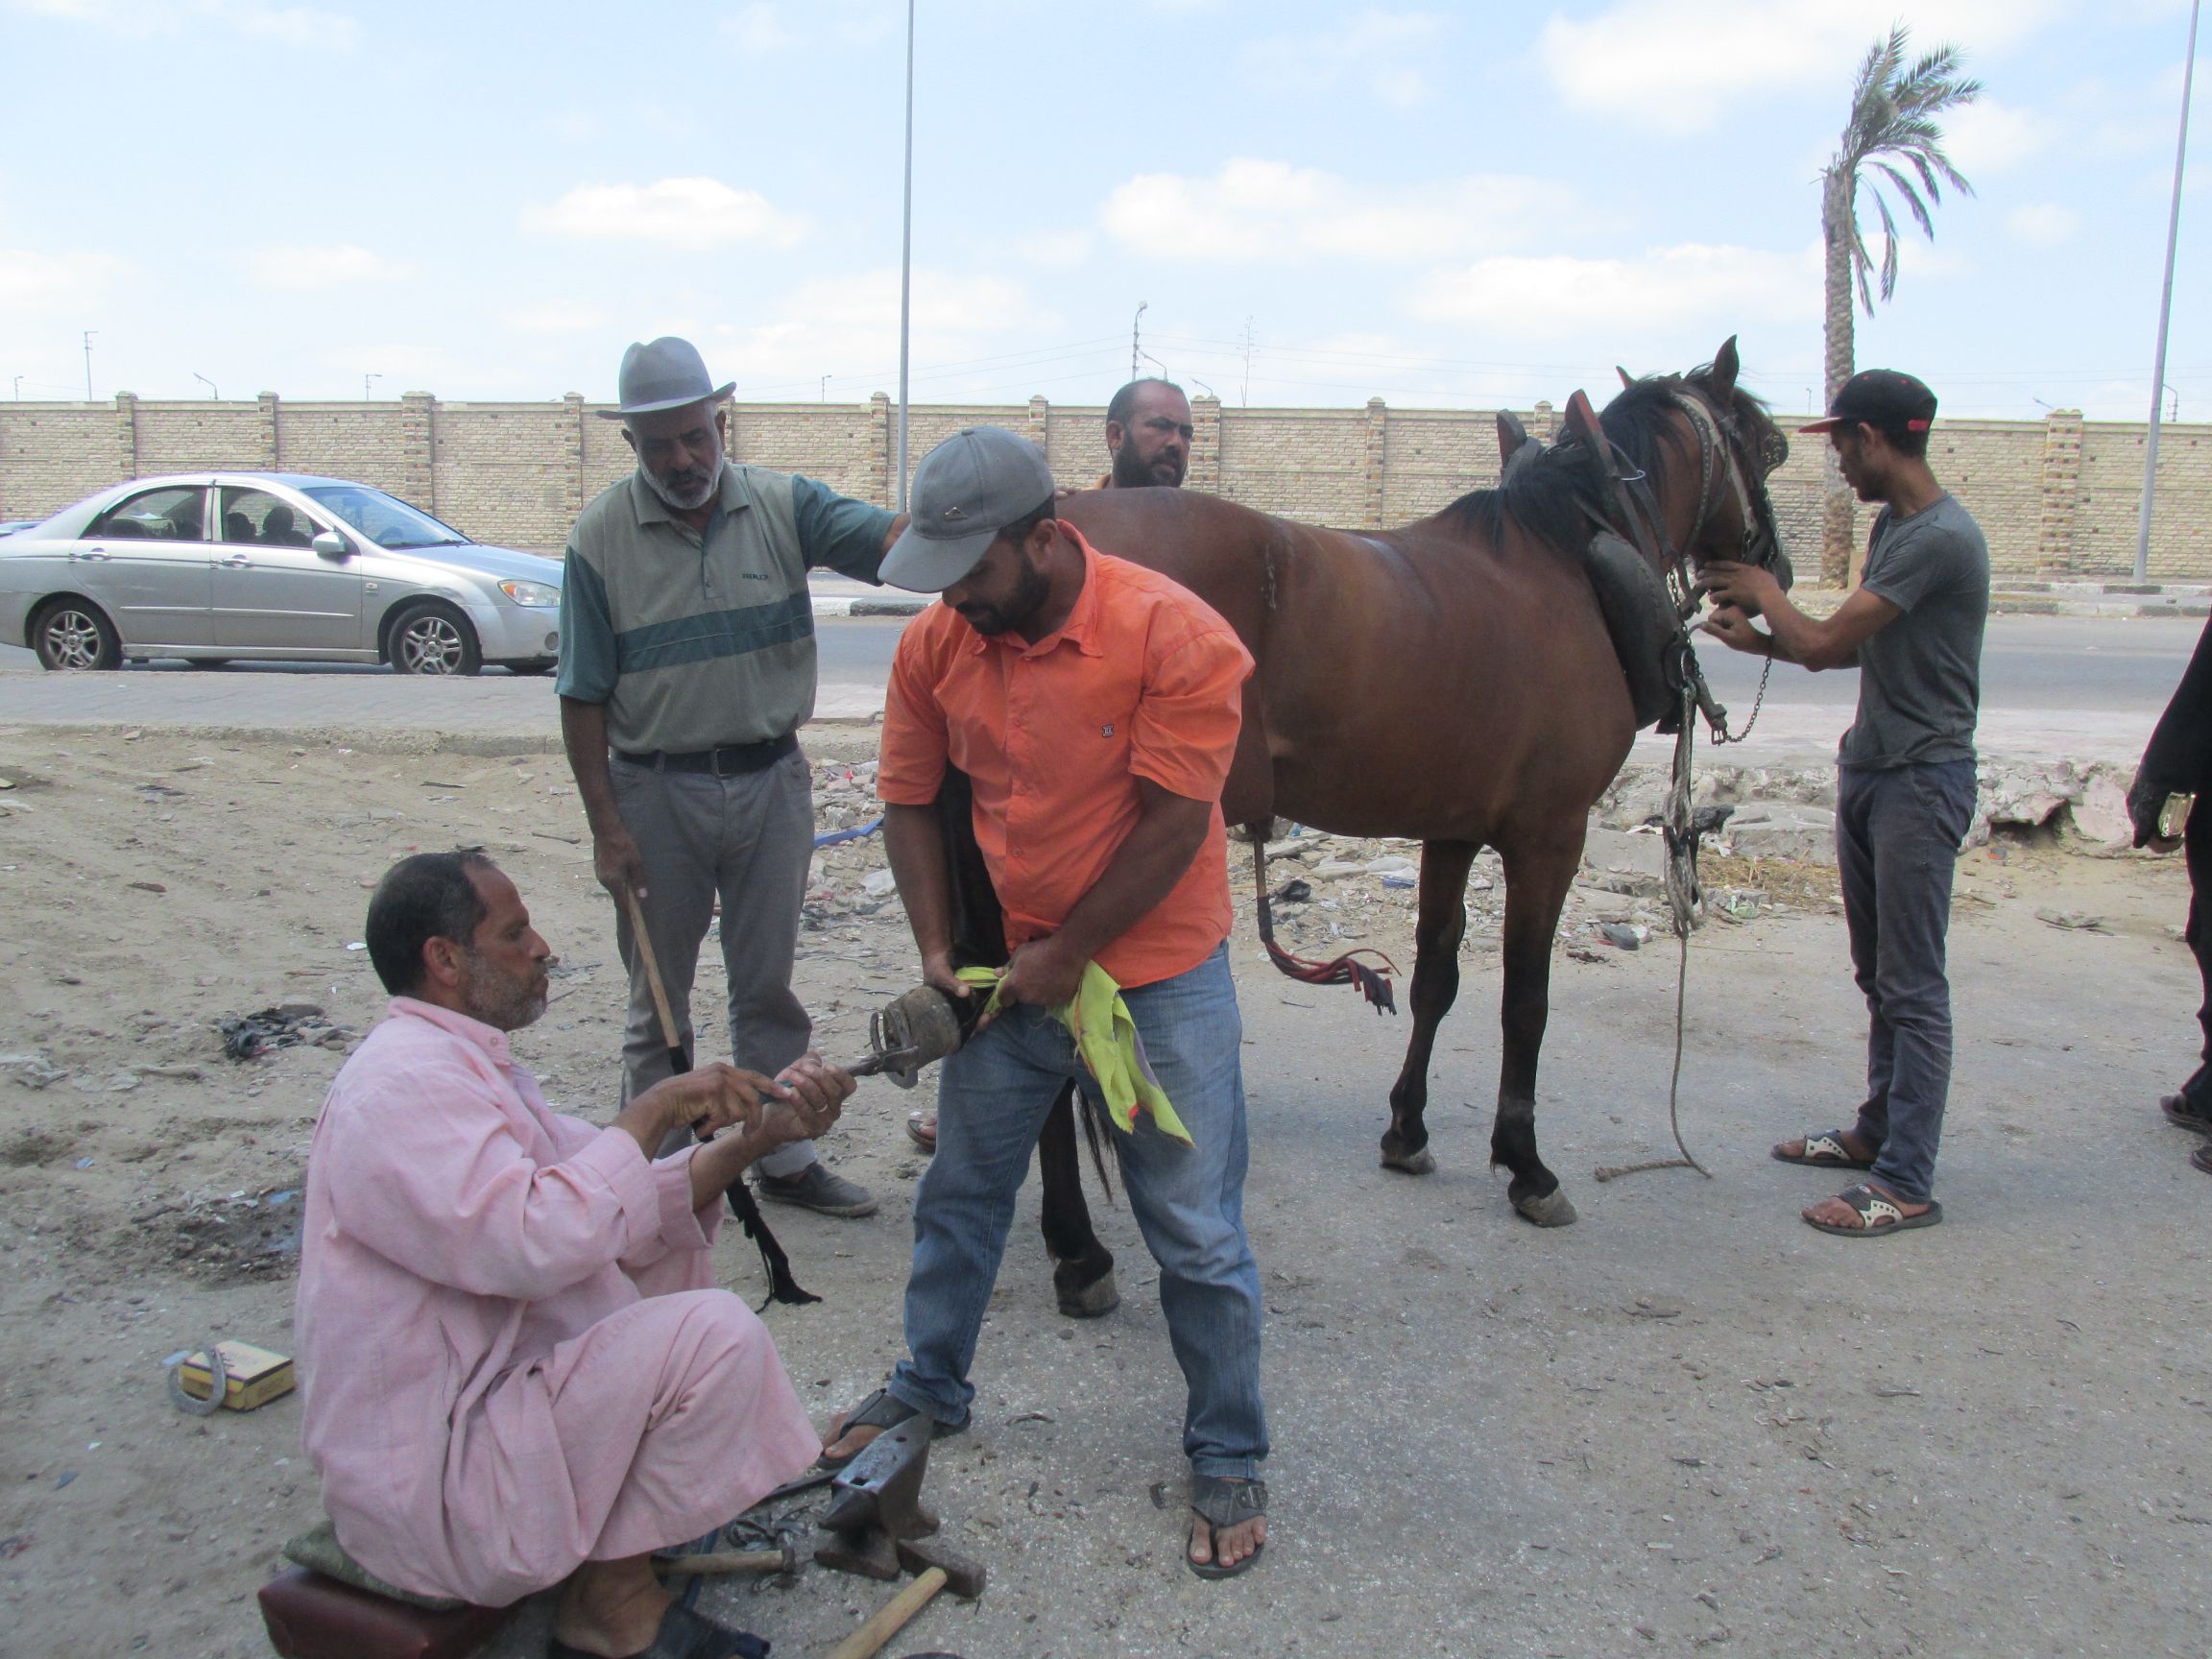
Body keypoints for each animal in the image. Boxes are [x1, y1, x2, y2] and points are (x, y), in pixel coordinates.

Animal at [1013, 338, 1787, 1309]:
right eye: (1769, 449)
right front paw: (1525, 1163)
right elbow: (1525, 1001)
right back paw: (1079, 1249)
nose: (1774, 572)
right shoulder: (1549, 836)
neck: (1566, 564)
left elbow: (1436, 981)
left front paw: (1407, 1130)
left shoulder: (1454, 830)